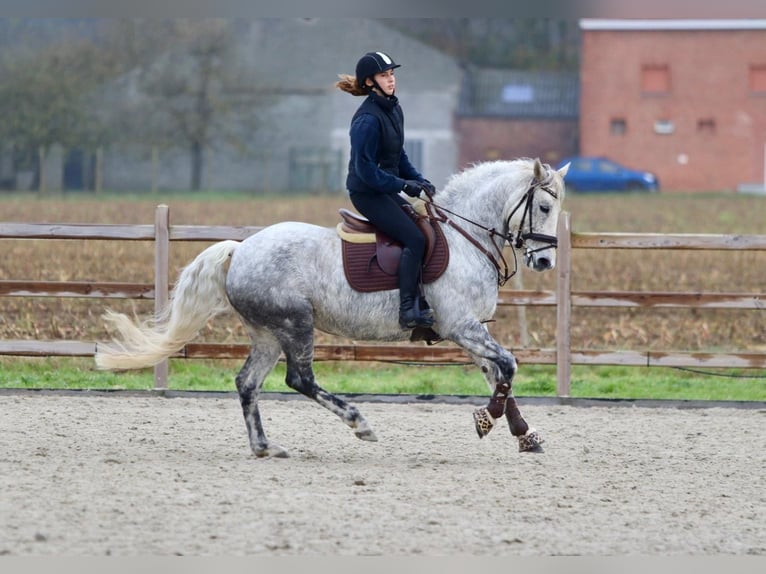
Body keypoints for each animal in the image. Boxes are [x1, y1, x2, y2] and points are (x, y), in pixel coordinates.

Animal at [94, 156, 568, 460]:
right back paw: (359, 423)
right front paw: (486, 420)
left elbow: (498, 374)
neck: (466, 238)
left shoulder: (471, 330)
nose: (545, 262)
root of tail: (240, 249)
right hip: (295, 323)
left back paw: (265, 447)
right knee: (299, 379)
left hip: (267, 333)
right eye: (544, 206)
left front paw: (525, 436)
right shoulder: (462, 326)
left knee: (248, 383)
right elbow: (508, 367)